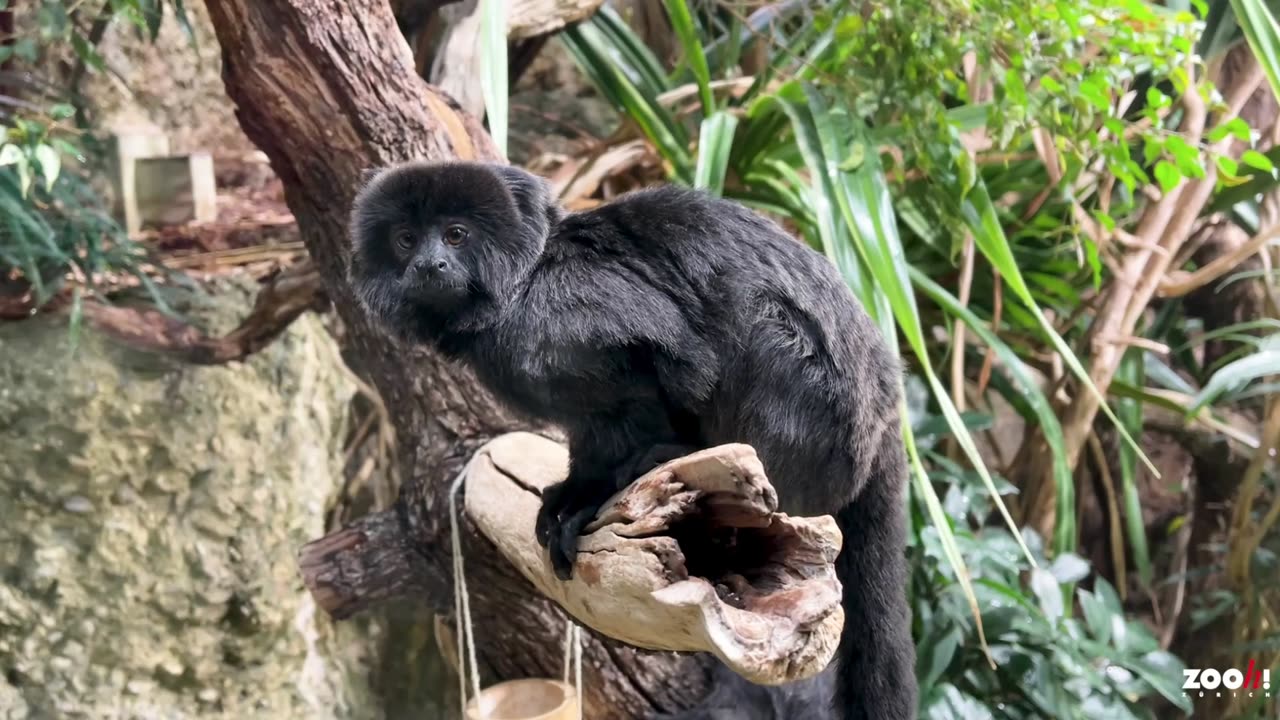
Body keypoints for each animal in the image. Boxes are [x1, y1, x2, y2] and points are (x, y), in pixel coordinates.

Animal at [345, 161, 916, 717]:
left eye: (456, 236)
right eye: (405, 240)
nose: (430, 265)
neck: (521, 285)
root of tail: (884, 410)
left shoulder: (566, 308)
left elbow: (681, 363)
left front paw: (594, 494)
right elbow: (591, 424)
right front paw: (573, 491)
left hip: (818, 419)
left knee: (763, 329)